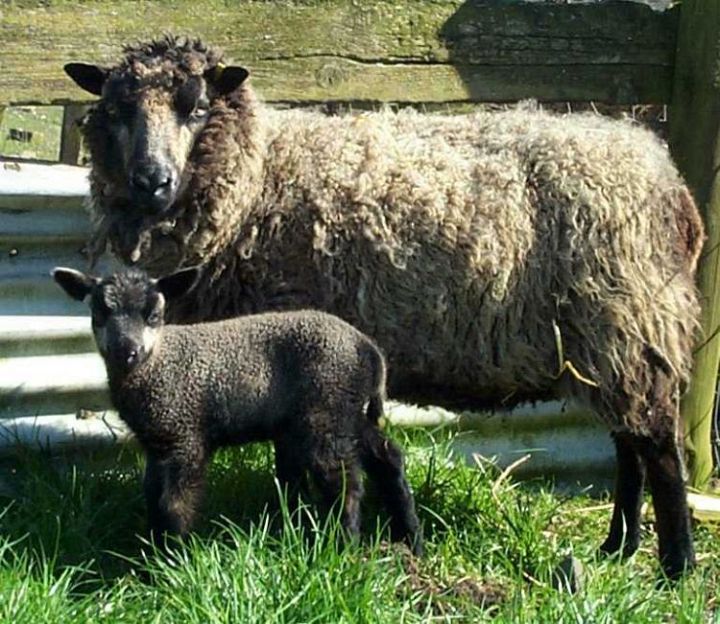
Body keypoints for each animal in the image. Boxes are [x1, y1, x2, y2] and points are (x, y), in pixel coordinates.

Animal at [53, 264, 424, 556]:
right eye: (98, 314)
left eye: (154, 316)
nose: (125, 352)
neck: (157, 364)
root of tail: (369, 349)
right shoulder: (158, 443)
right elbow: (152, 498)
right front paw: (153, 553)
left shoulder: (184, 437)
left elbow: (174, 504)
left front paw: (173, 560)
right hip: (347, 413)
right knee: (388, 457)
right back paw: (410, 539)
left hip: (326, 411)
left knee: (344, 482)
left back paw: (344, 546)